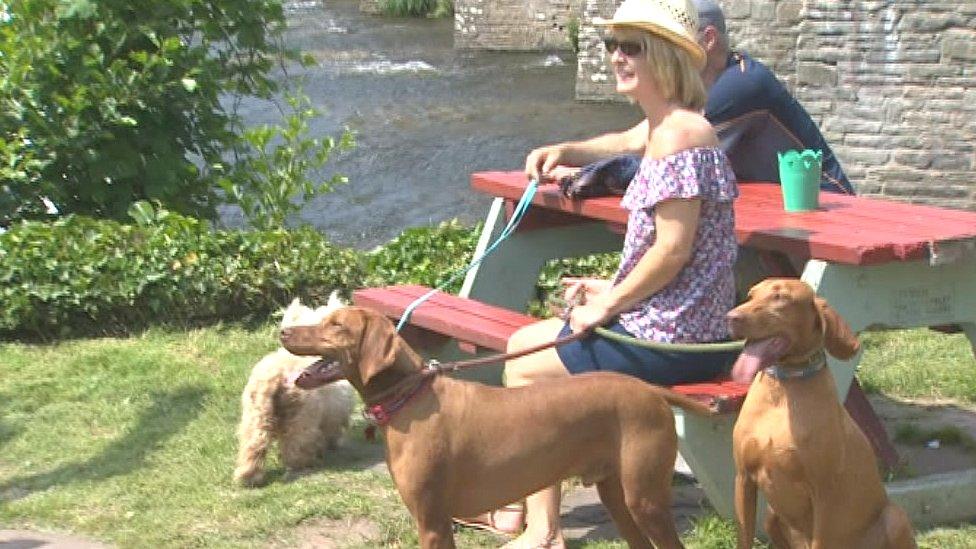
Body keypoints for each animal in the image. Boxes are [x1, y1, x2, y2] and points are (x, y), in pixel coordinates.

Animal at [234, 294, 356, 486]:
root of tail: (276, 374)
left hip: (254, 414)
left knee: (254, 443)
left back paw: (248, 476)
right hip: (302, 416)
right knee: (295, 445)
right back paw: (303, 464)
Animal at [282, 306, 716, 544]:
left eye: (336, 325)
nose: (283, 331)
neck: (409, 397)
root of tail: (649, 389)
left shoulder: (432, 522)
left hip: (645, 498)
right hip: (617, 495)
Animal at [732, 280, 916, 548]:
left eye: (780, 297)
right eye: (750, 295)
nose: (731, 317)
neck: (783, 392)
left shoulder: (824, 494)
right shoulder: (744, 477)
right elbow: (744, 537)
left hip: (895, 516)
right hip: (770, 517)